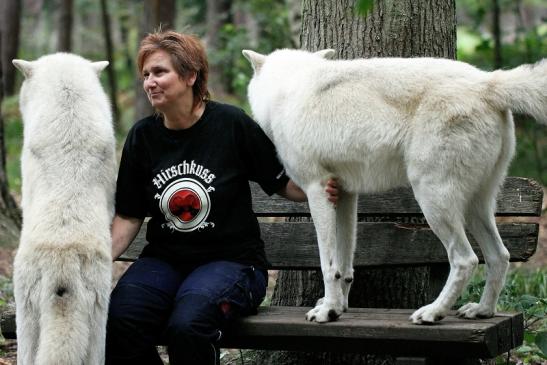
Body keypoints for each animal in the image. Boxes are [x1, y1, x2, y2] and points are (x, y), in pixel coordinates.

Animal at [244, 48, 547, 324]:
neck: (287, 90)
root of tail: (488, 82)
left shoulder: (317, 189)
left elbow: (328, 265)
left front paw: (326, 311)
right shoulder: (345, 193)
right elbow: (345, 264)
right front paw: (338, 308)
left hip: (432, 199)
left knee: (466, 259)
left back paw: (433, 312)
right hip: (476, 206)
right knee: (500, 256)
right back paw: (482, 310)